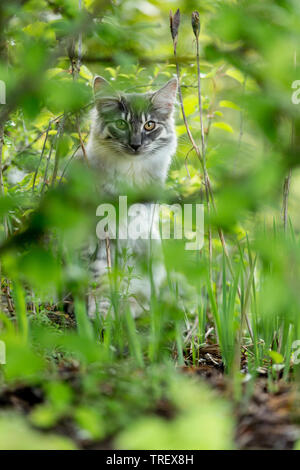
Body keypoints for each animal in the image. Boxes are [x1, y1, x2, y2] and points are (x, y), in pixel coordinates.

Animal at [84, 75, 178, 318]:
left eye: (149, 125)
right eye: (121, 124)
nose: (136, 145)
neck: (131, 171)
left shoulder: (137, 226)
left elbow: (126, 274)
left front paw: (119, 308)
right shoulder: (103, 231)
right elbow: (102, 274)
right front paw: (101, 310)